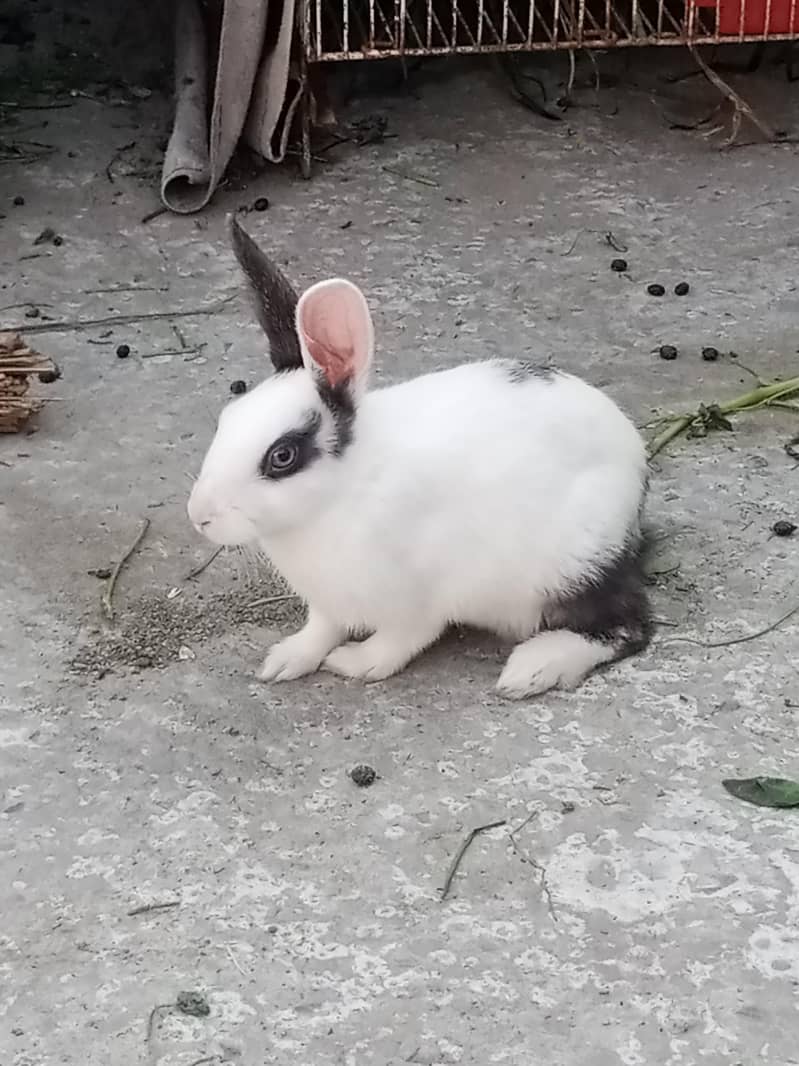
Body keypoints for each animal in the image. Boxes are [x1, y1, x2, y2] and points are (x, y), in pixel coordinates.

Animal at [187, 217, 652, 698]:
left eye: (282, 456)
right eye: (228, 417)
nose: (198, 517)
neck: (341, 494)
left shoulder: (419, 599)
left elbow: (399, 641)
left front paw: (353, 663)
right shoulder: (328, 602)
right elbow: (321, 629)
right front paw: (285, 660)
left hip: (571, 567)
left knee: (628, 625)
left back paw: (533, 668)